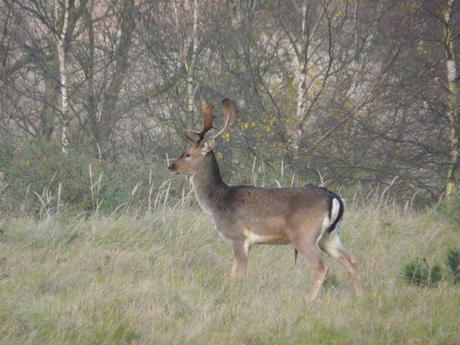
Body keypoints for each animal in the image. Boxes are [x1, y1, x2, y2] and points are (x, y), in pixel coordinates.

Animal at [167, 98, 362, 300]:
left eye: (187, 153)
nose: (171, 165)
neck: (217, 202)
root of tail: (335, 198)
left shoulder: (238, 236)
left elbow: (239, 275)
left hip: (305, 235)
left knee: (322, 268)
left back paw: (309, 300)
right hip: (329, 235)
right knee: (351, 261)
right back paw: (360, 297)